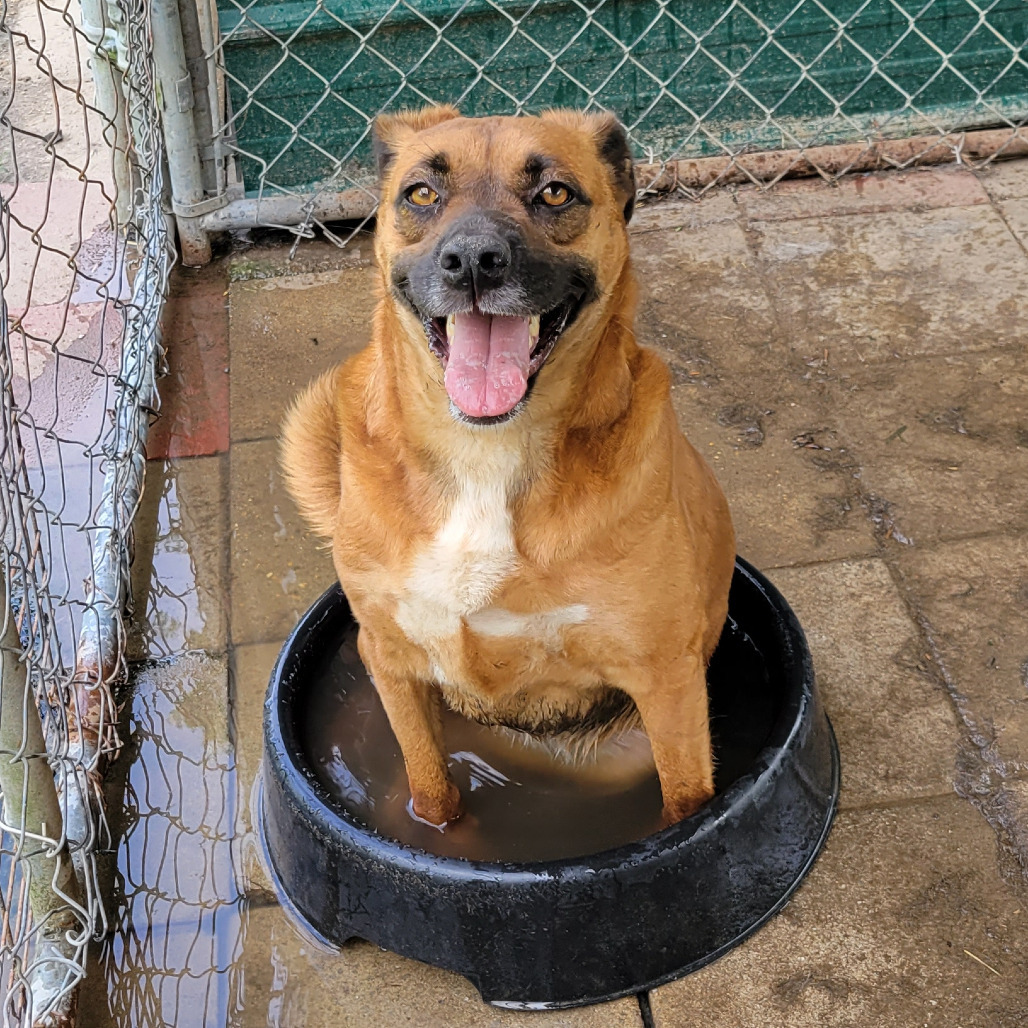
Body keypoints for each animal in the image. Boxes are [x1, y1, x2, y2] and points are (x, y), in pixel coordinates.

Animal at [277, 106, 736, 826]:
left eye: (555, 193)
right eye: (421, 193)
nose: (472, 261)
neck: (485, 455)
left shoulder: (667, 681)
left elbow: (682, 809)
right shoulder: (390, 660)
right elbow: (432, 791)